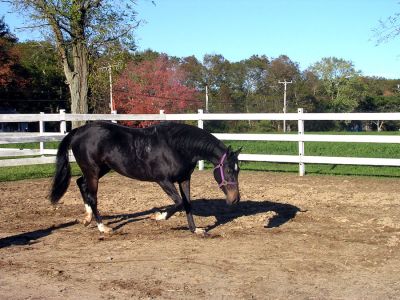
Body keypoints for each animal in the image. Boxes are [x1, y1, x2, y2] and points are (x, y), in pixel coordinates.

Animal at [50, 121, 241, 234]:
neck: (176, 146)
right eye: (228, 170)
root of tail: (78, 131)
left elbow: (187, 204)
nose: (235, 200)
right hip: (93, 171)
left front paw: (195, 230)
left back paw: (87, 219)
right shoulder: (163, 180)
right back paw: (103, 227)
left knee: (81, 184)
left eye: (238, 170)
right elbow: (179, 202)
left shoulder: (184, 179)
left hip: (101, 169)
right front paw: (158, 216)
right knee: (92, 196)